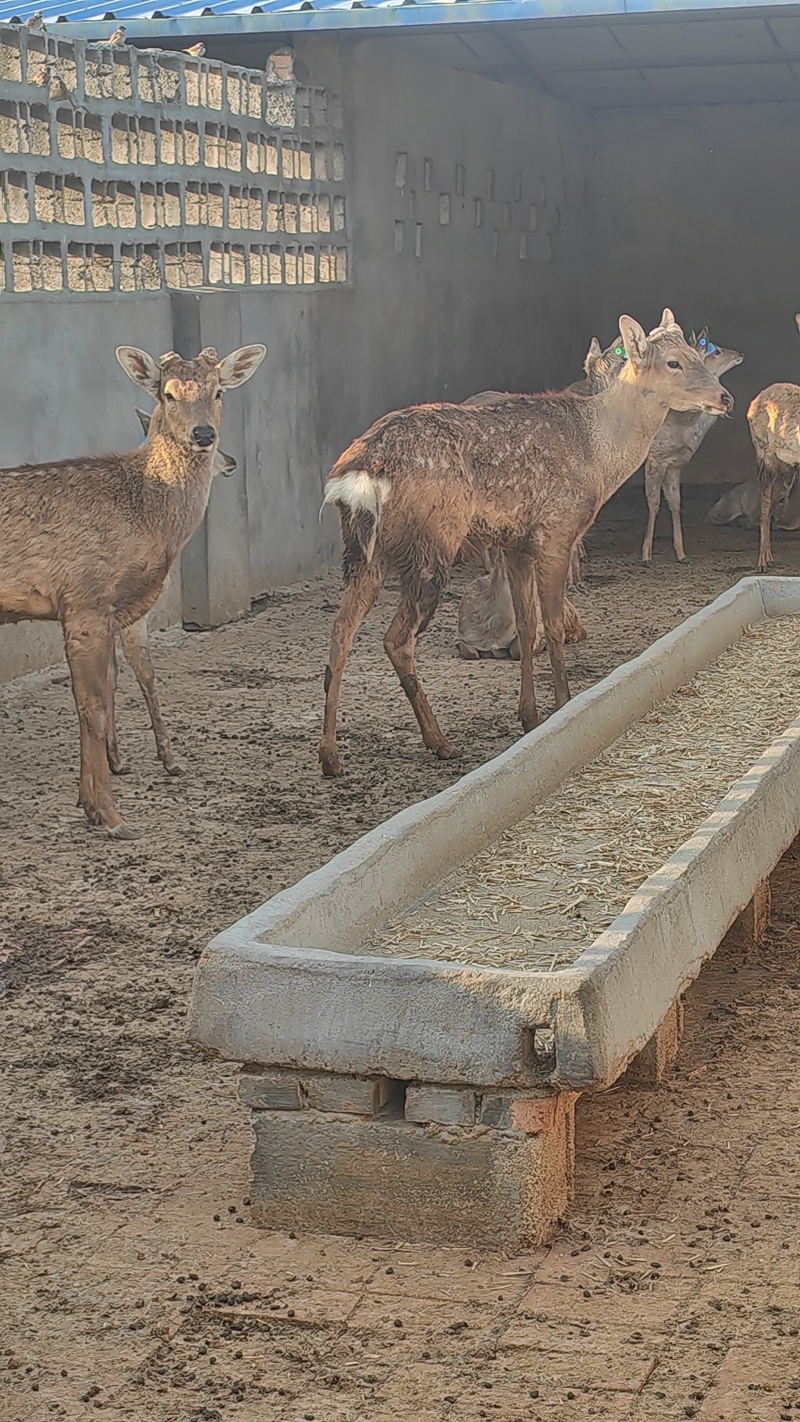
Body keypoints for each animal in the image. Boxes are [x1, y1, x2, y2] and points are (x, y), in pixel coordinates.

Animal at [641, 329, 744, 564]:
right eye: (716, 351)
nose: (740, 354)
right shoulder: (656, 457)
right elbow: (654, 503)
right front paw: (646, 554)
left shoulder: (676, 462)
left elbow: (676, 502)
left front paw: (681, 553)